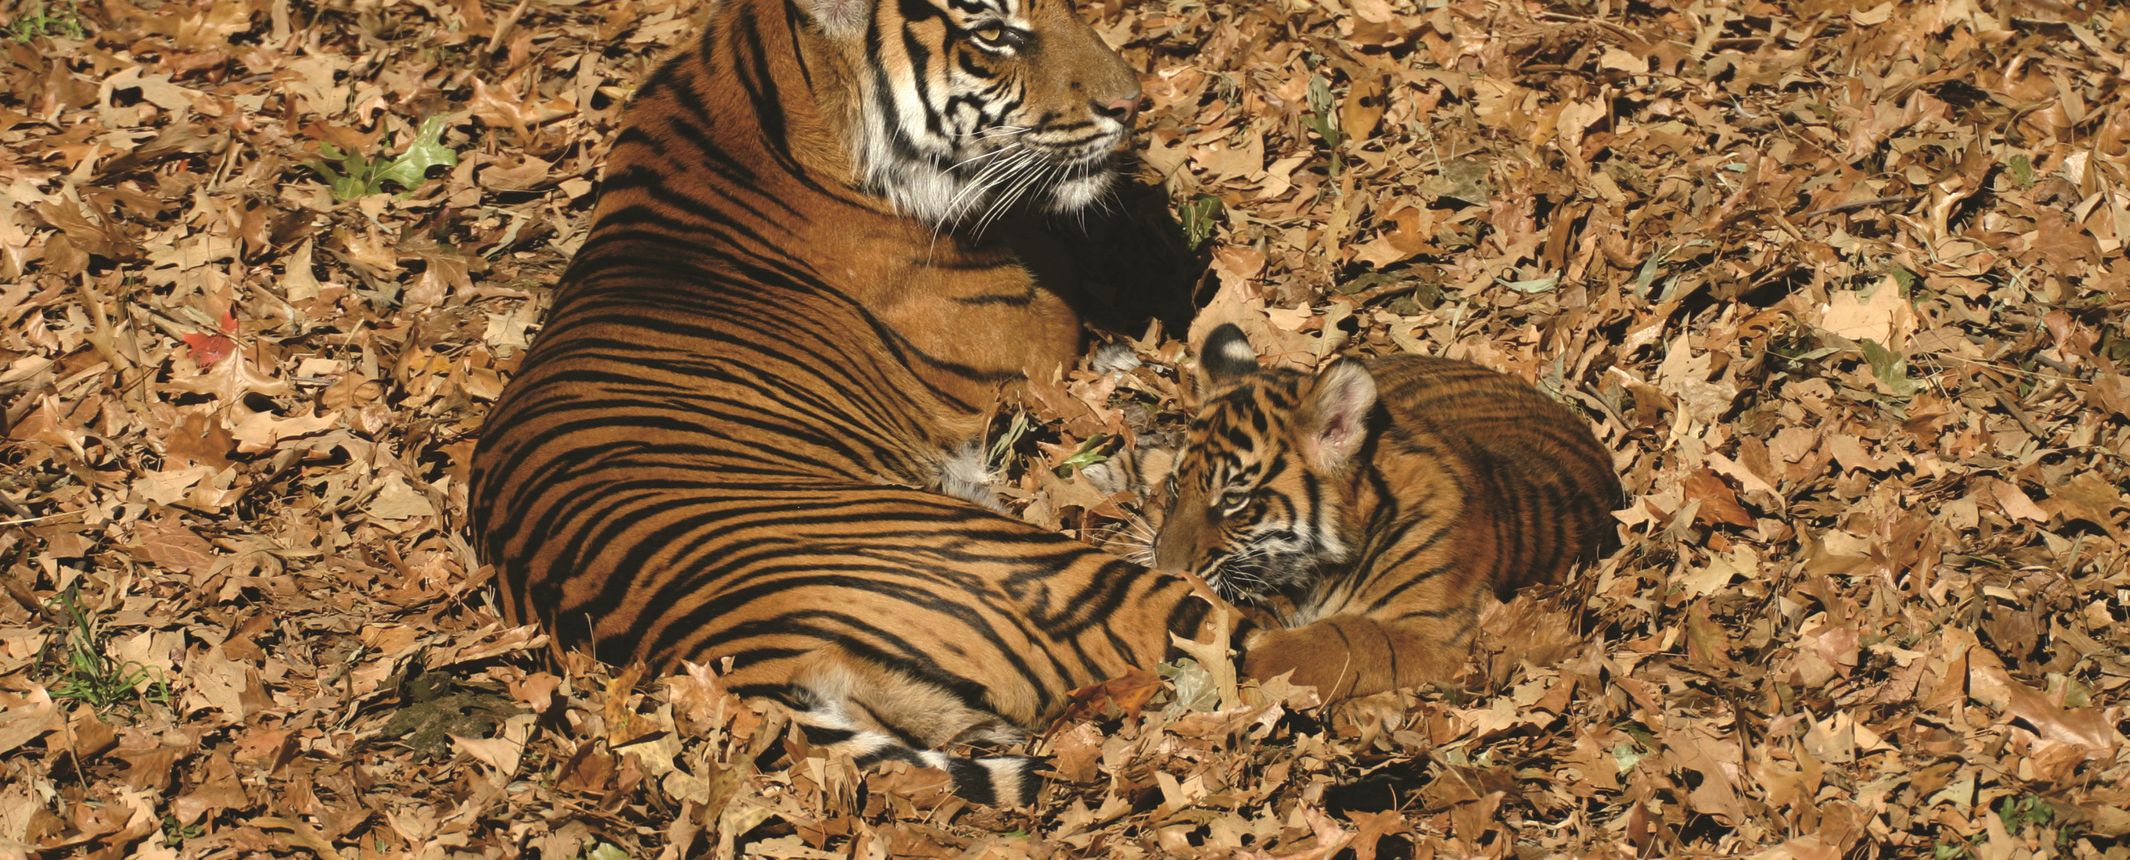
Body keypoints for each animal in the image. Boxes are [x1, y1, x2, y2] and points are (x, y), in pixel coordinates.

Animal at [1152, 324, 1621, 703]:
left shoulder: (1437, 636)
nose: (1168, 570)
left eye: (1233, 499)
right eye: (1176, 486)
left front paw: (1250, 650)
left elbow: (1343, 639)